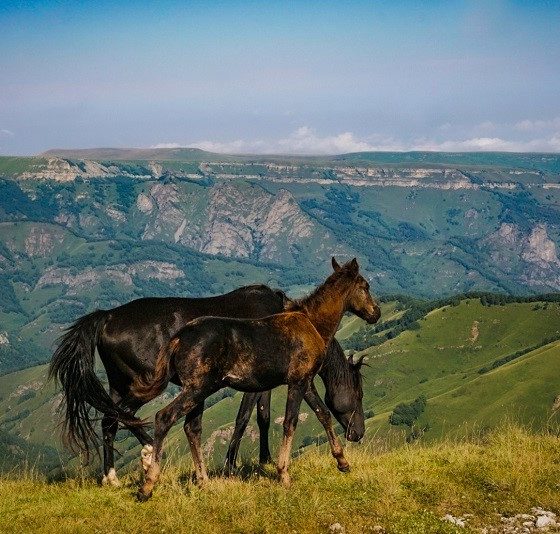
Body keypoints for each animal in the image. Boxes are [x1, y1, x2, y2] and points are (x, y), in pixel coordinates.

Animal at [49, 286, 368, 488]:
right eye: (358, 394)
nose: (358, 433)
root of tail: (106, 316)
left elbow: (264, 416)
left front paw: (263, 460)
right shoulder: (258, 382)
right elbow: (247, 418)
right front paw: (233, 465)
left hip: (119, 385)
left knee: (111, 420)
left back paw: (111, 476)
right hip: (140, 385)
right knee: (122, 418)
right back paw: (146, 456)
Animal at [132, 260, 380, 502]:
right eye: (365, 286)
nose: (375, 313)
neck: (310, 324)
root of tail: (179, 338)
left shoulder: (306, 382)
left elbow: (323, 414)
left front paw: (342, 462)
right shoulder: (298, 382)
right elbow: (290, 422)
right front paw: (283, 474)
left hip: (198, 391)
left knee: (191, 429)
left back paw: (204, 482)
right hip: (196, 389)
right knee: (164, 417)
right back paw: (148, 486)